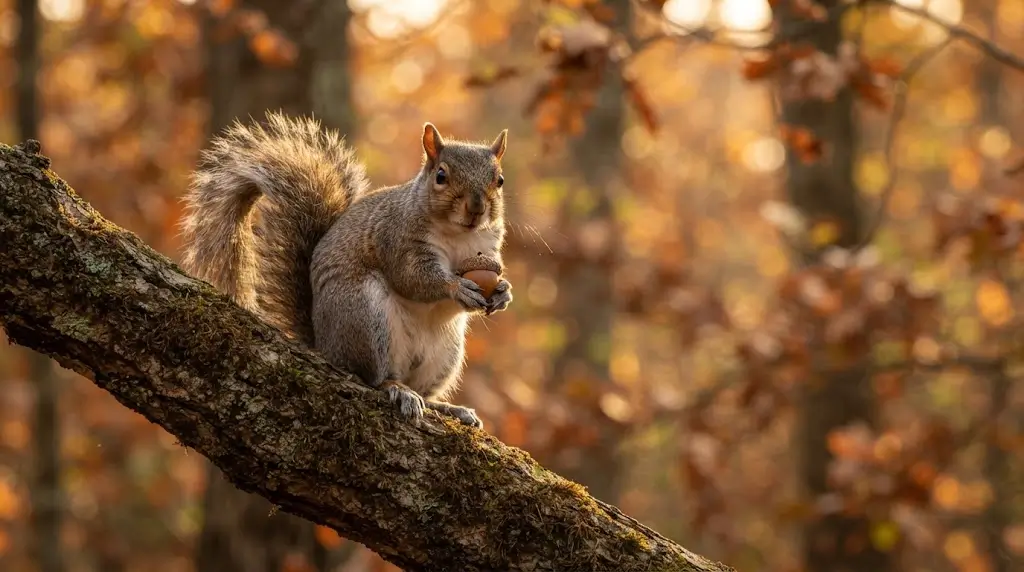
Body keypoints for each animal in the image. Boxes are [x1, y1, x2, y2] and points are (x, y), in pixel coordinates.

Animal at [178, 111, 511, 429]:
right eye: (441, 176)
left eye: (500, 180)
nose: (476, 209)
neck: (459, 234)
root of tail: (323, 344)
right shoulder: (397, 237)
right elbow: (412, 278)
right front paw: (456, 287)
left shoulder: (488, 248)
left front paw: (503, 292)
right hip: (362, 316)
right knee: (373, 378)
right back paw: (397, 389)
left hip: (446, 352)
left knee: (425, 393)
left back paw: (449, 408)